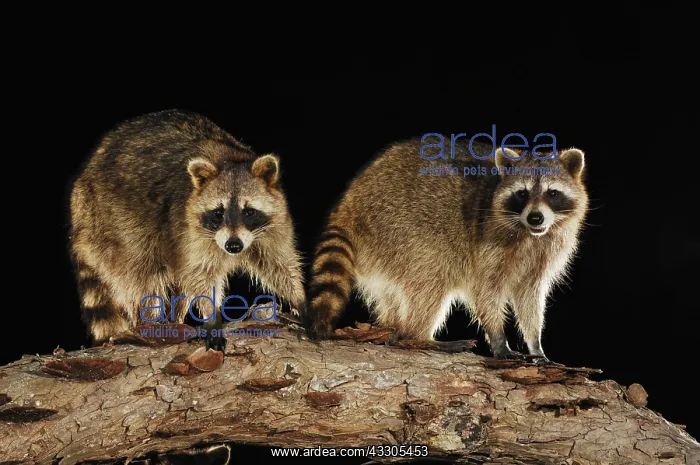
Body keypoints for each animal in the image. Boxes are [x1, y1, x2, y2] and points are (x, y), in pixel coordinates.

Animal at [69, 109, 306, 351]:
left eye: (249, 212)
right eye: (218, 212)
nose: (233, 245)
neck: (230, 158)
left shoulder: (274, 227)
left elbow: (279, 266)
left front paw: (300, 300)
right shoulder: (189, 229)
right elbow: (201, 275)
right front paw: (212, 318)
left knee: (178, 286)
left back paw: (175, 318)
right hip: (114, 221)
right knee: (142, 274)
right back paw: (148, 324)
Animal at [303, 138, 588, 361]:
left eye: (552, 193)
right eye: (522, 194)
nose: (535, 218)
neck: (530, 233)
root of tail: (349, 203)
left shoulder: (546, 253)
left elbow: (530, 296)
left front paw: (535, 343)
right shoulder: (487, 243)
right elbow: (485, 291)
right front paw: (499, 339)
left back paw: (392, 329)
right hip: (399, 227)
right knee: (434, 273)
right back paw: (418, 336)